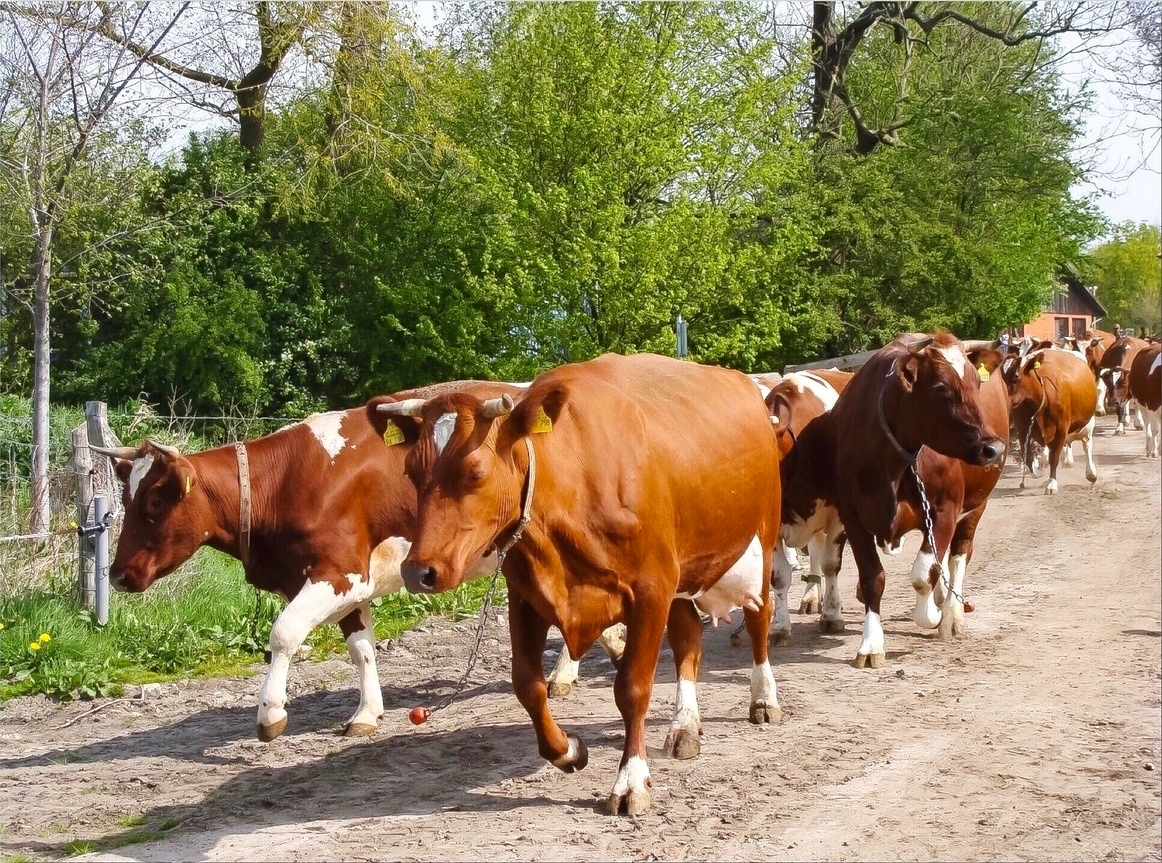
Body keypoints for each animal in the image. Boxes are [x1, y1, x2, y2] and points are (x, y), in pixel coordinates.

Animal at [96, 380, 627, 748]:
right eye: (127, 499)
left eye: (156, 501)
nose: (117, 575)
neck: (289, 480)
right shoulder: (346, 583)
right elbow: (361, 649)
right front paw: (367, 713)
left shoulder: (336, 572)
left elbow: (283, 634)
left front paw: (271, 715)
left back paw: (569, 672)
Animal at [376, 353, 785, 817]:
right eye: (411, 472)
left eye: (474, 472)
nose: (417, 571)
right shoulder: (527, 595)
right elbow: (527, 685)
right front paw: (567, 750)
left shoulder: (651, 589)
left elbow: (632, 688)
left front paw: (631, 781)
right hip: (686, 570)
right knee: (687, 640)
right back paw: (685, 726)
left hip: (763, 537)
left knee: (759, 620)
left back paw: (764, 700)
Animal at [827, 332, 1008, 669]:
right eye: (939, 388)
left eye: (976, 383)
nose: (993, 448)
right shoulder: (853, 516)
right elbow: (872, 579)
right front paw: (871, 644)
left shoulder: (945, 510)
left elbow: (924, 573)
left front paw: (933, 614)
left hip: (977, 505)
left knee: (959, 554)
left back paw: (951, 614)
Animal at [999, 348, 1096, 497]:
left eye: (1016, 376)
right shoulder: (1023, 430)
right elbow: (1028, 458)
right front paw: (1038, 472)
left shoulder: (1061, 429)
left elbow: (1054, 457)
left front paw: (1052, 483)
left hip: (1087, 425)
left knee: (1087, 444)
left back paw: (1091, 472)